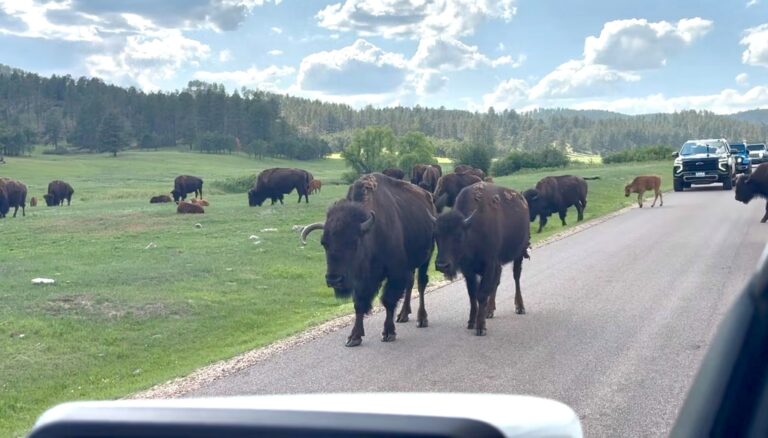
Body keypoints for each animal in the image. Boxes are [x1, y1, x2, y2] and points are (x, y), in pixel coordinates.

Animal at [301, 173, 435, 347]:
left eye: (353, 242)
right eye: (324, 243)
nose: (334, 279)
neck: (371, 233)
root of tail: (428, 197)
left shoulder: (395, 273)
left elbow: (388, 300)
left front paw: (388, 333)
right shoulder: (362, 280)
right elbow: (359, 303)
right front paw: (354, 337)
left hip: (426, 257)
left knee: (421, 284)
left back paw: (422, 319)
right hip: (411, 265)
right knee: (410, 284)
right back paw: (403, 315)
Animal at [433, 182, 530, 336]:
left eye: (458, 235)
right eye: (436, 235)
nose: (442, 265)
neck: (471, 228)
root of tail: (522, 200)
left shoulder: (489, 264)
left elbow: (482, 294)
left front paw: (481, 327)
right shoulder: (468, 271)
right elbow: (473, 295)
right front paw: (471, 322)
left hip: (519, 254)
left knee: (516, 277)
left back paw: (520, 307)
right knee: (496, 283)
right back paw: (489, 311)